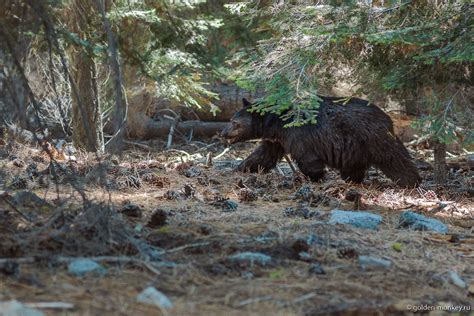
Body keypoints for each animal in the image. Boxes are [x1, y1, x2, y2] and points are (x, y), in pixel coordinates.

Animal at [220, 97, 420, 188]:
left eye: (234, 122)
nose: (222, 133)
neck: (276, 121)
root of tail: (388, 118)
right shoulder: (276, 139)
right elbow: (263, 156)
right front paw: (241, 167)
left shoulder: (297, 133)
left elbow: (306, 156)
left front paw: (317, 176)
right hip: (357, 148)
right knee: (354, 167)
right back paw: (352, 180)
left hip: (373, 138)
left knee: (395, 159)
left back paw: (412, 182)